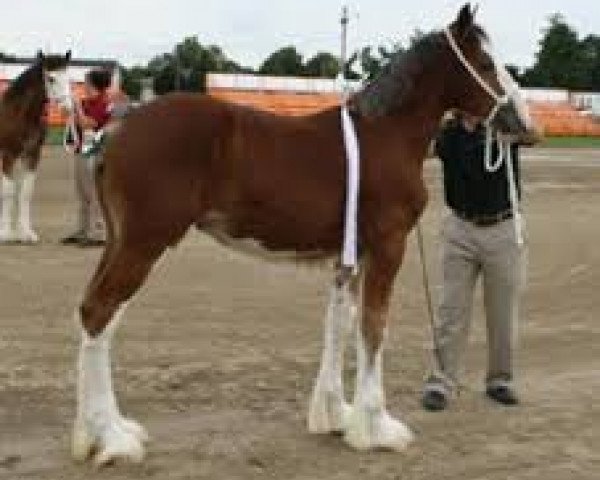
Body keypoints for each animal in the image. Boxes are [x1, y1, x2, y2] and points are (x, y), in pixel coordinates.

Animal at [0, 51, 72, 244]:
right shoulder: (7, 155)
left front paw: (26, 233)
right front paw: (6, 233)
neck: (19, 113)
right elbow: (8, 190)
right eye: (51, 78)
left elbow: (26, 192)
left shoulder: (32, 155)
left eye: (69, 77)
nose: (68, 108)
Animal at [70, 4, 536, 464]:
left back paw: (94, 433)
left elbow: (340, 322)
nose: (525, 124)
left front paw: (336, 415)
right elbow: (373, 326)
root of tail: (116, 132)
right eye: (485, 63)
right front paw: (376, 427)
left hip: (121, 242)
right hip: (143, 244)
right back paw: (113, 438)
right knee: (100, 311)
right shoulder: (388, 246)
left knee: (95, 314)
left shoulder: (351, 252)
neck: (383, 135)